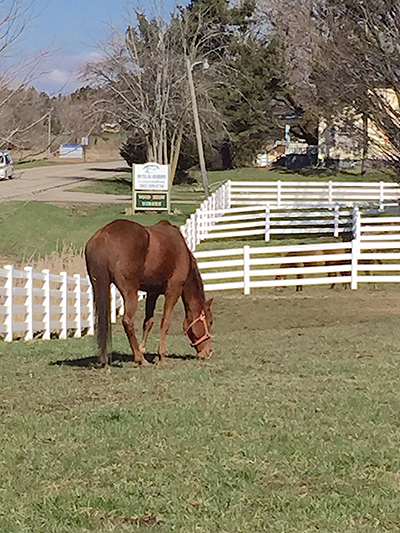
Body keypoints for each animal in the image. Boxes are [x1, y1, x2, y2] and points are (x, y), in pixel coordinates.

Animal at [85, 219, 213, 367]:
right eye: (210, 322)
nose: (208, 352)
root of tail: (104, 235)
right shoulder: (173, 290)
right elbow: (165, 322)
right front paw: (161, 357)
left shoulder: (152, 293)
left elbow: (148, 322)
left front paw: (142, 349)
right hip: (130, 291)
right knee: (128, 321)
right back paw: (140, 359)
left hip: (98, 287)